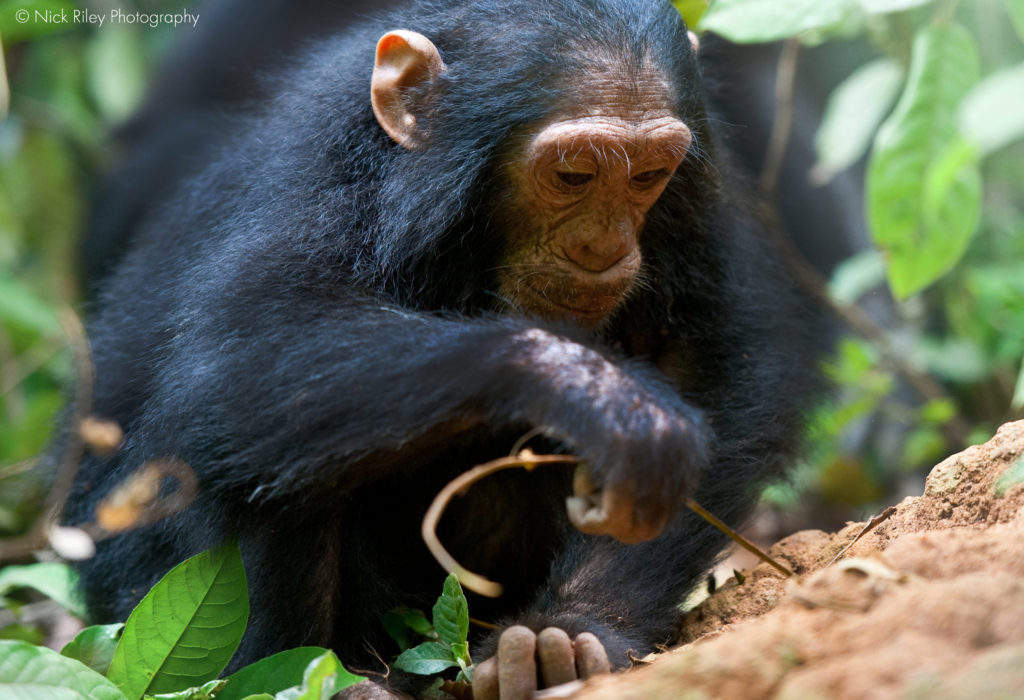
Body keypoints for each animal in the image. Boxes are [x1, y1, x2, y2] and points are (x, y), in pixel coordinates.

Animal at [61, 1, 823, 695]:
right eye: (574, 173)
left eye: (647, 175)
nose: (601, 247)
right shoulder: (314, 185)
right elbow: (249, 351)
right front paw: (602, 399)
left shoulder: (699, 207)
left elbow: (715, 366)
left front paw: (572, 632)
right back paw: (331, 681)